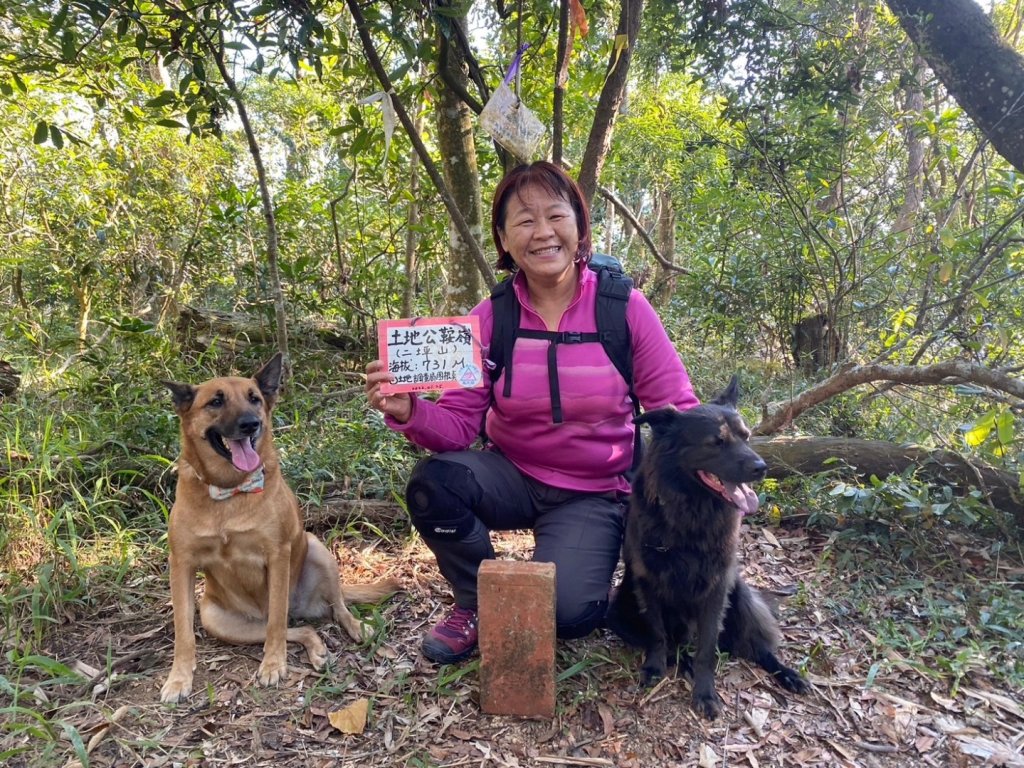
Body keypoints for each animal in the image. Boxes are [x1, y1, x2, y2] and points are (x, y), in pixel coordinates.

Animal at [161, 354, 397, 704]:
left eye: (254, 399)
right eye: (216, 401)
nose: (251, 424)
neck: (229, 492)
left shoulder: (277, 554)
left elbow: (276, 624)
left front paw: (273, 663)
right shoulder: (182, 564)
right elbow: (183, 632)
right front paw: (178, 679)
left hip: (316, 549)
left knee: (330, 609)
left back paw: (356, 627)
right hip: (218, 620)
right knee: (299, 629)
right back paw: (316, 649)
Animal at [606, 378, 806, 720]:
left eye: (747, 436)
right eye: (716, 442)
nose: (761, 467)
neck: (691, 511)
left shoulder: (717, 586)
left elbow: (707, 648)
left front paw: (705, 691)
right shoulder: (648, 583)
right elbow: (657, 634)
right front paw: (655, 668)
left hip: (740, 595)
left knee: (756, 647)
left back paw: (787, 673)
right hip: (622, 608)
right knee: (674, 645)